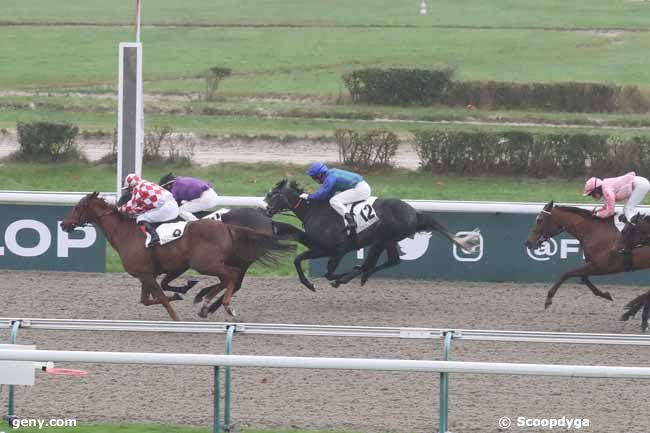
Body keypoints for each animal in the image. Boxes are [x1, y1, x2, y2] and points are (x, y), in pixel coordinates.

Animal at [60, 192, 294, 318]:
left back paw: (220, 305)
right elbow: (149, 299)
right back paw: (207, 302)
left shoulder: (146, 274)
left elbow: (161, 298)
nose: (64, 224)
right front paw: (184, 291)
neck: (126, 233)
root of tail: (228, 227)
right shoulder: (150, 273)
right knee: (230, 278)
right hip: (216, 262)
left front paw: (177, 317)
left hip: (206, 263)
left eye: (78, 206)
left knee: (232, 277)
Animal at [260, 179, 478, 290]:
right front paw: (309, 284)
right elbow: (297, 259)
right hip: (387, 240)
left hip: (382, 239)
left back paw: (351, 277)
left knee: (370, 264)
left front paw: (337, 277)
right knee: (391, 261)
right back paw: (362, 277)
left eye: (273, 194)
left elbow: (329, 271)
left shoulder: (338, 249)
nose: (264, 208)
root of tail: (414, 213)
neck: (315, 210)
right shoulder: (320, 248)